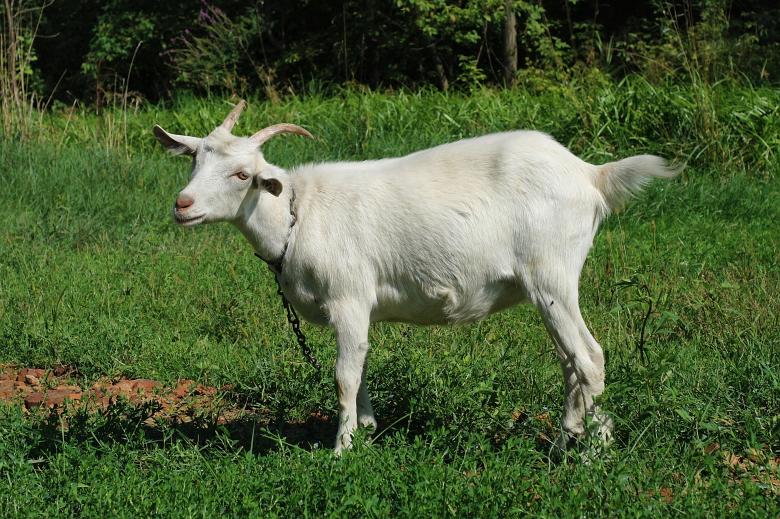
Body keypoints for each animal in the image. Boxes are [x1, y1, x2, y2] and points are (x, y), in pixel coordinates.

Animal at [153, 100, 679, 453]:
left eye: (243, 175)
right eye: (195, 159)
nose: (182, 205)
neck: (297, 214)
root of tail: (590, 174)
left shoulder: (348, 295)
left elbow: (343, 375)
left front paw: (342, 449)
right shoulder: (359, 309)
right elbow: (361, 364)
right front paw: (367, 429)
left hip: (551, 274)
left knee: (589, 357)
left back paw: (591, 451)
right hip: (549, 286)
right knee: (572, 359)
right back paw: (574, 434)